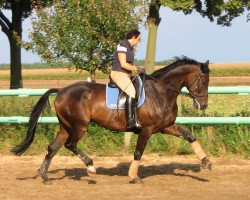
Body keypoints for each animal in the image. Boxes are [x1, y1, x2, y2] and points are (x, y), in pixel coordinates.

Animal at [11, 55, 211, 183]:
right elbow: (138, 152)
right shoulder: (146, 129)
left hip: (66, 127)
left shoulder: (165, 127)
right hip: (79, 126)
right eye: (204, 81)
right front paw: (134, 176)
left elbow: (190, 136)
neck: (160, 92)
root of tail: (61, 91)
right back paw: (90, 167)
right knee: (70, 145)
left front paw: (206, 162)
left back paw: (44, 176)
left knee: (53, 148)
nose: (203, 105)